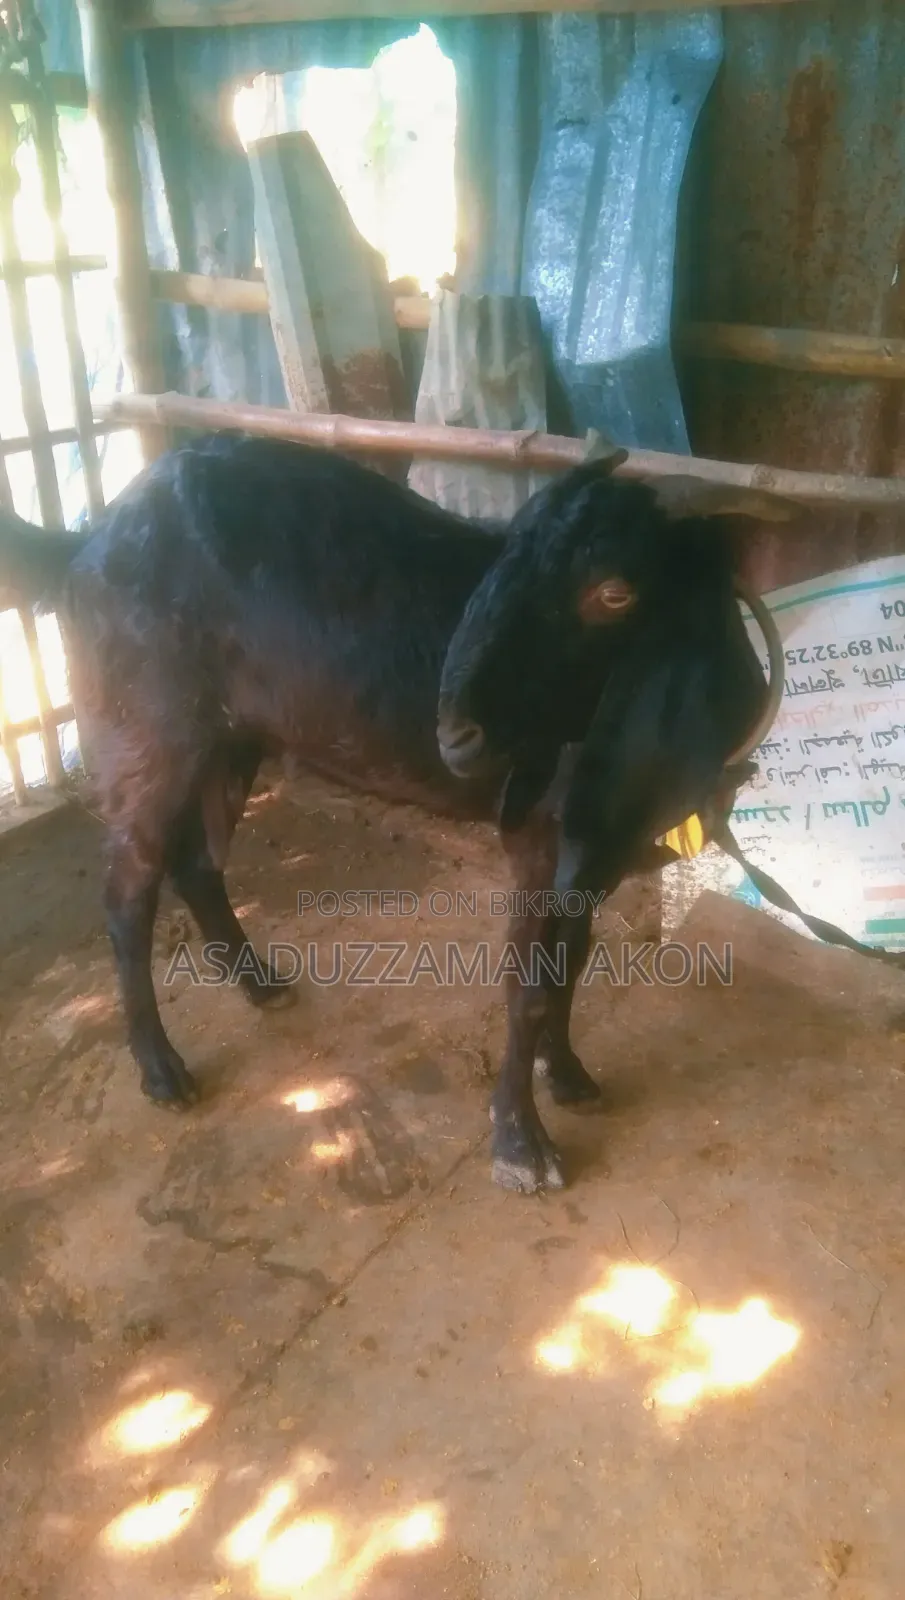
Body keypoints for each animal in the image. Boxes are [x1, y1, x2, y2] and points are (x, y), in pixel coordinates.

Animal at [0, 434, 784, 1192]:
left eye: (615, 591)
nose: (455, 732)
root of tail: (88, 541)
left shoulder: (589, 854)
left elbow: (571, 961)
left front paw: (566, 1076)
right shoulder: (541, 842)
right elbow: (529, 986)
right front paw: (520, 1147)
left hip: (232, 735)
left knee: (198, 862)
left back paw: (260, 986)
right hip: (146, 734)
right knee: (128, 893)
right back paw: (162, 1071)